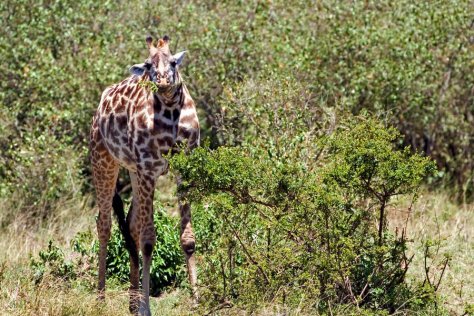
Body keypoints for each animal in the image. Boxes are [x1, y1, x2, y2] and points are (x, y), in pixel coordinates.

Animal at [90, 35, 199, 316]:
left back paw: (132, 302)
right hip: (103, 160)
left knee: (130, 225)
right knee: (104, 224)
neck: (171, 110)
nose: (162, 83)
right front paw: (147, 308)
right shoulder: (149, 169)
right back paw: (101, 299)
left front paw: (197, 300)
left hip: (134, 171)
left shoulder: (183, 167)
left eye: (173, 62)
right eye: (149, 65)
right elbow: (149, 240)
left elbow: (188, 239)